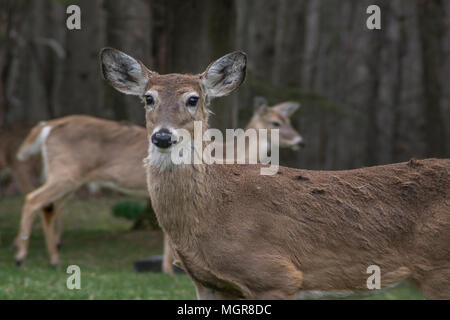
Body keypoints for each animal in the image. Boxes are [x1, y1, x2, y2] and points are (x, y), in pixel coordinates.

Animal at [13, 101, 302, 268]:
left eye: (289, 121)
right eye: (276, 123)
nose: (301, 141)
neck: (229, 153)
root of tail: (47, 126)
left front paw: (169, 267)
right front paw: (172, 268)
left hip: (68, 177)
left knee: (49, 207)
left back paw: (53, 258)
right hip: (65, 172)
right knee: (32, 200)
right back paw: (21, 257)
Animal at [101, 48, 450, 300]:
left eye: (193, 99)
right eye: (148, 98)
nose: (163, 136)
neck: (213, 211)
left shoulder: (275, 275)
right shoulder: (208, 283)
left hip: (439, 270)